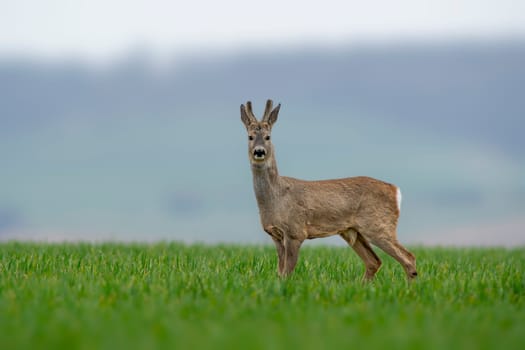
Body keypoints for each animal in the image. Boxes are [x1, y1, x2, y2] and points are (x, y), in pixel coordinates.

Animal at [241, 100, 418, 280]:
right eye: (250, 137)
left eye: (268, 137)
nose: (259, 151)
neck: (276, 197)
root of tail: (395, 190)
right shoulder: (275, 235)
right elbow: (280, 272)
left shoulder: (295, 231)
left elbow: (287, 271)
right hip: (352, 231)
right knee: (374, 261)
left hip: (379, 224)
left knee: (408, 257)